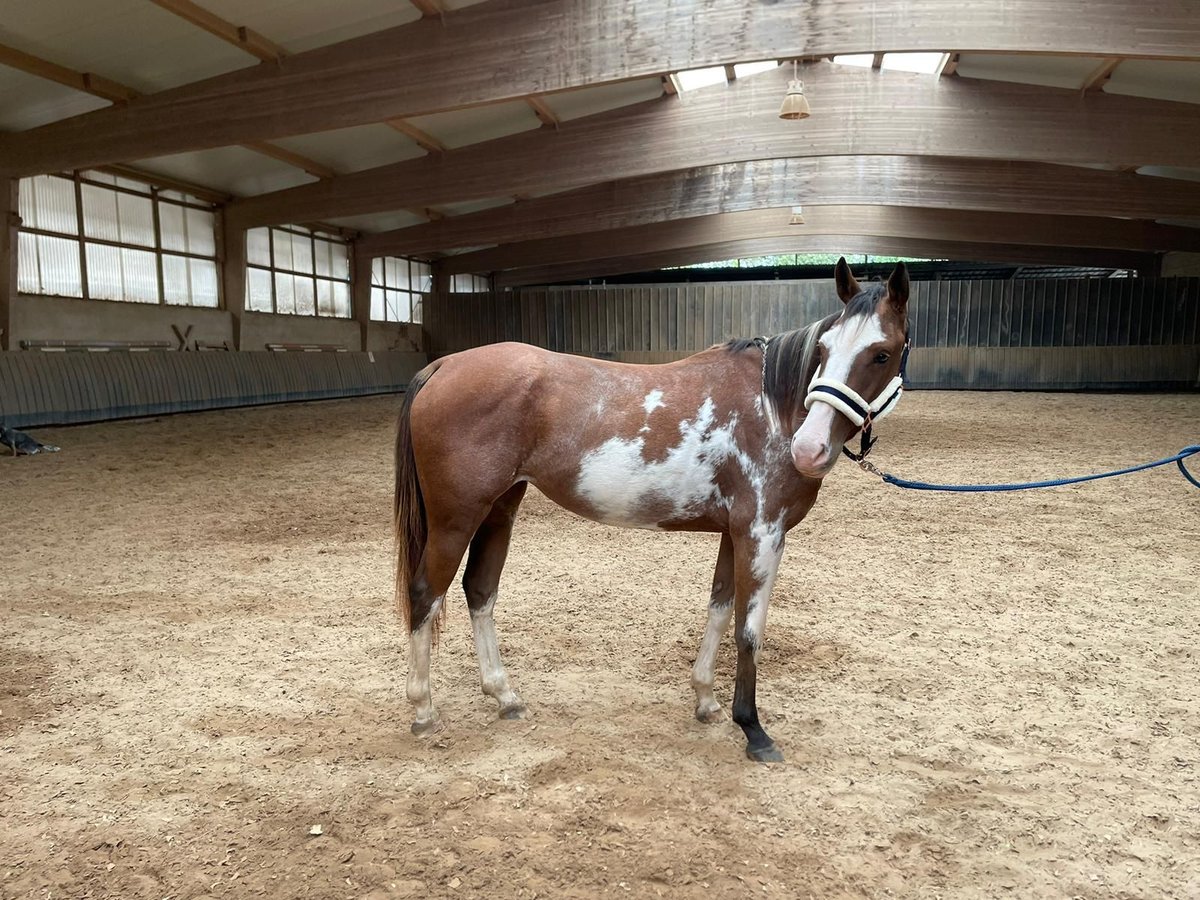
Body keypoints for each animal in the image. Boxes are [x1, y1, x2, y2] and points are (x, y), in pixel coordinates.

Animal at [393, 256, 907, 763]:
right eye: (823, 349)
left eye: (881, 353)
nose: (809, 449)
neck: (771, 406)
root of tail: (444, 364)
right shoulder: (762, 534)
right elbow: (749, 630)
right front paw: (753, 730)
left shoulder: (735, 532)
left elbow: (719, 609)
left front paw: (706, 701)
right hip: (455, 520)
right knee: (425, 594)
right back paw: (422, 711)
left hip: (499, 510)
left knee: (479, 591)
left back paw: (505, 697)